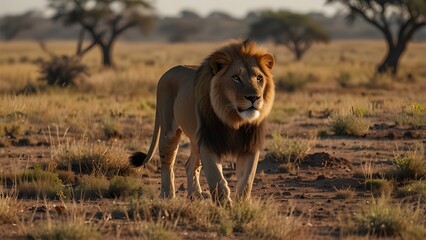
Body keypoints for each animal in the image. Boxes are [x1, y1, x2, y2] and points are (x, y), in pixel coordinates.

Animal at [131, 39, 276, 204]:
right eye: (236, 78)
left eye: (259, 78)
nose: (254, 98)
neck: (234, 118)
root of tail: (166, 73)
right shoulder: (208, 142)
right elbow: (216, 177)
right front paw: (224, 204)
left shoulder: (250, 145)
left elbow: (247, 179)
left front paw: (242, 204)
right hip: (169, 131)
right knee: (167, 162)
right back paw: (167, 194)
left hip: (195, 140)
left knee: (190, 165)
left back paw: (195, 195)